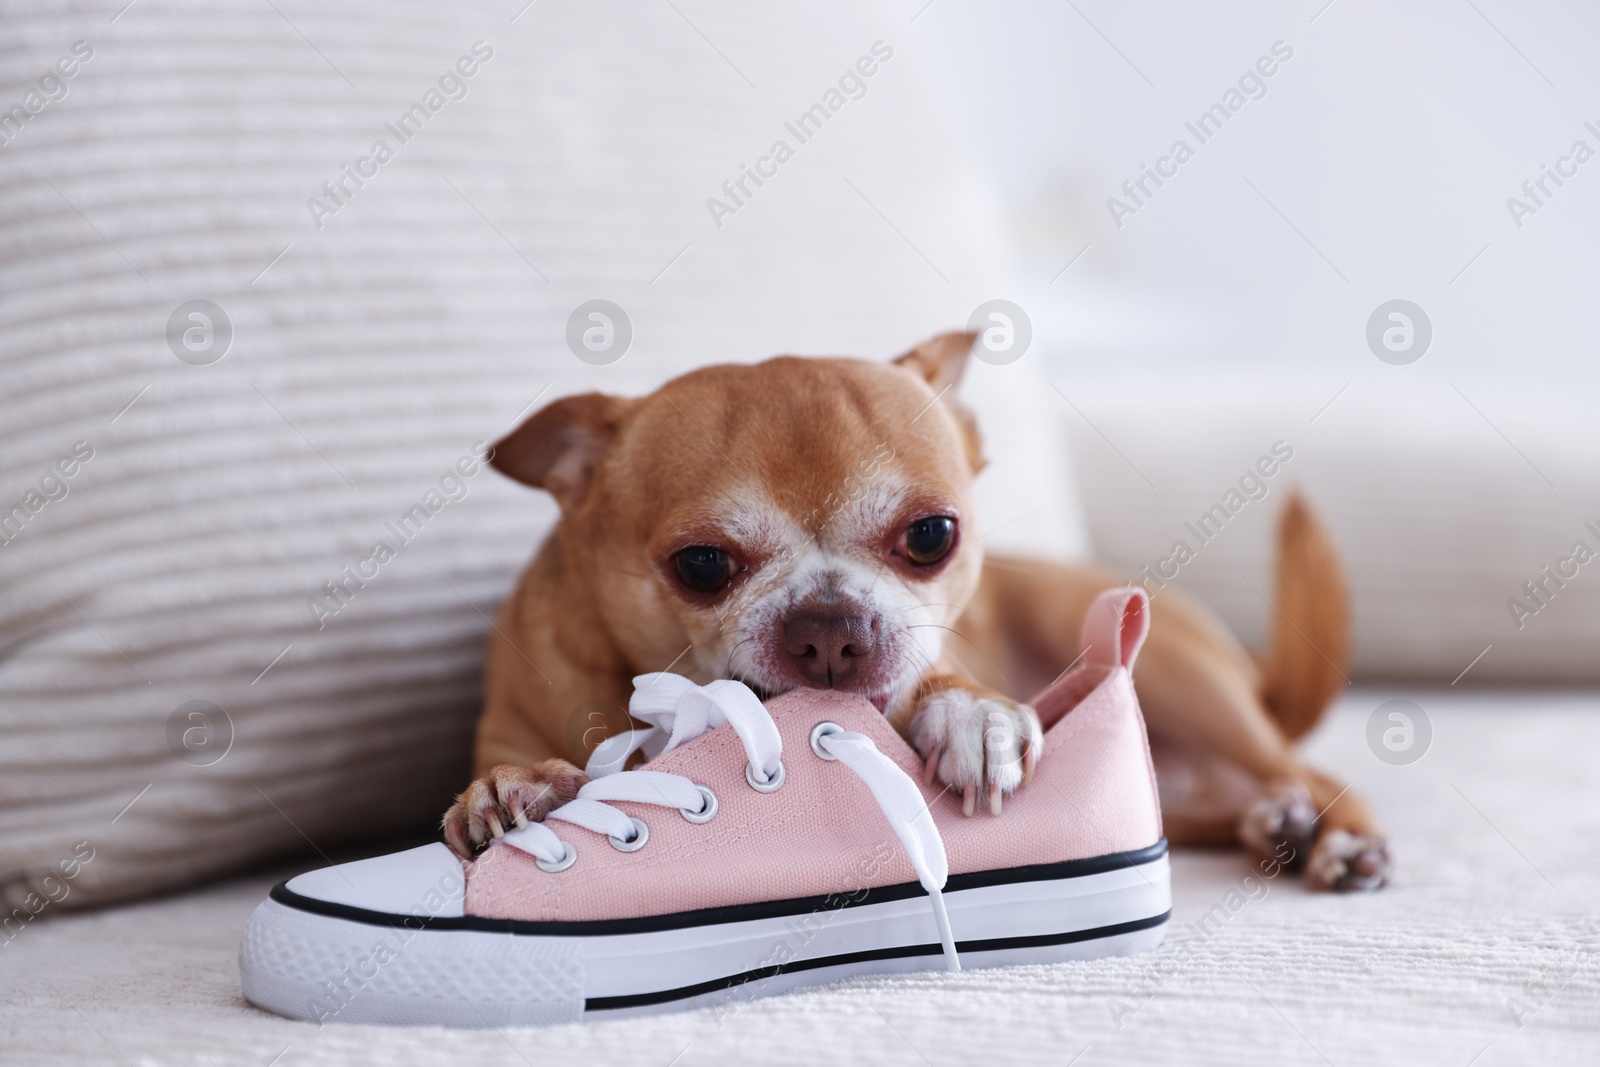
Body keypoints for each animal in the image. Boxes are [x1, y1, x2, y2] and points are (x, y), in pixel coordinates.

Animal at [448, 334, 1388, 895]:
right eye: (702, 564)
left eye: (931, 535)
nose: (830, 629)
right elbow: (514, 769)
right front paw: (518, 786)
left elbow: (947, 687)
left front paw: (972, 718)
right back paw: (1275, 823)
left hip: (1176, 674)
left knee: (1304, 769)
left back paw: (1336, 836)